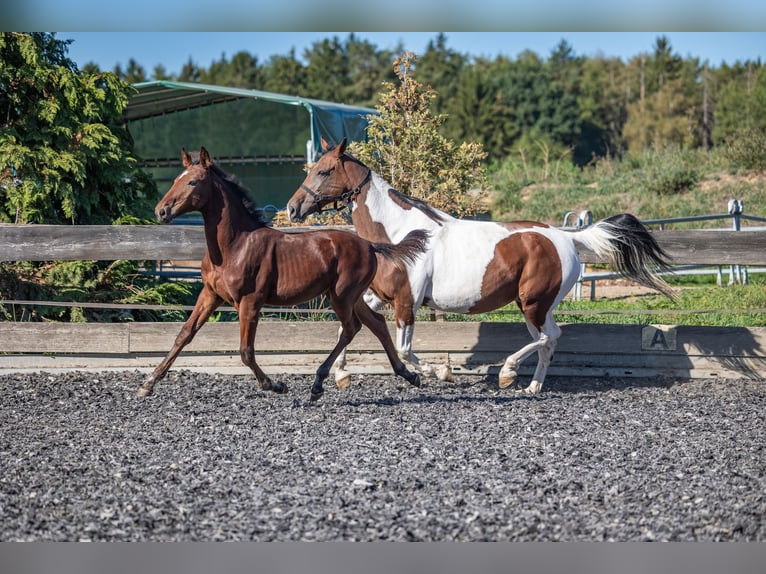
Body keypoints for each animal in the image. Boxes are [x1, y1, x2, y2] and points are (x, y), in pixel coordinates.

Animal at [138, 147, 428, 402]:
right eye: (176, 179)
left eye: (193, 182)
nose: (161, 210)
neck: (234, 245)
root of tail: (368, 245)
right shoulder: (210, 295)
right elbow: (184, 334)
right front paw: (148, 383)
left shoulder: (250, 302)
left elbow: (245, 351)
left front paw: (275, 385)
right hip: (351, 297)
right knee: (376, 323)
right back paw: (409, 375)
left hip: (342, 296)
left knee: (351, 328)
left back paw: (318, 384)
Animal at [287, 138, 675, 395]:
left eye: (324, 171)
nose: (293, 208)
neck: (400, 236)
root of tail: (567, 238)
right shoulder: (379, 297)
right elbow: (349, 328)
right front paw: (340, 376)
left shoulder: (406, 304)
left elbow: (405, 349)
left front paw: (442, 373)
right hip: (534, 306)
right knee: (548, 341)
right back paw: (531, 387)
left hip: (533, 303)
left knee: (550, 337)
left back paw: (508, 372)